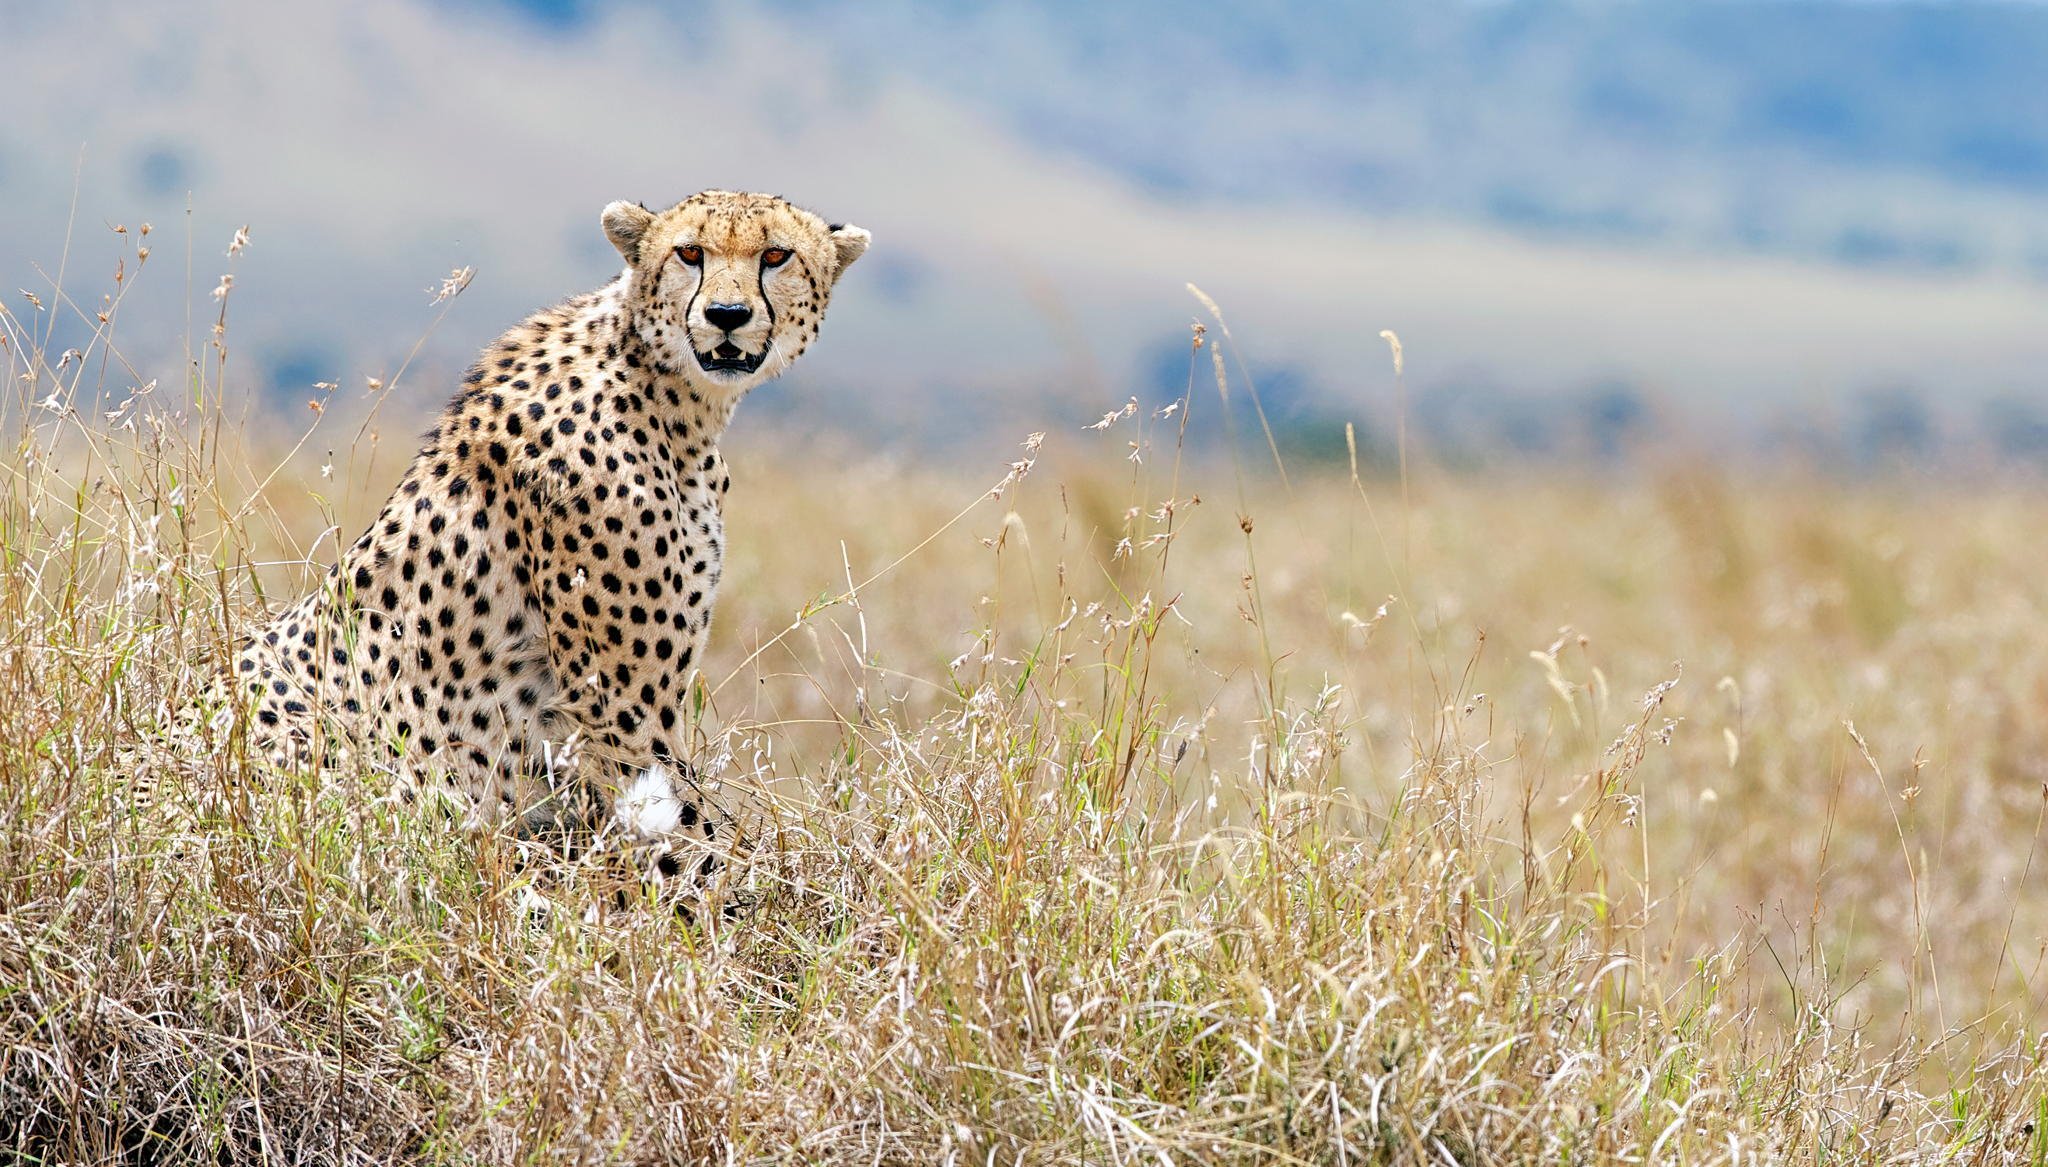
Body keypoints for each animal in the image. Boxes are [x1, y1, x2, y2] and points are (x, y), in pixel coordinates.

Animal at [221, 189, 869, 880]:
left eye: (776, 256)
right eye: (690, 252)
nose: (726, 314)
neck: (669, 395)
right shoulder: (621, 708)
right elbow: (693, 837)